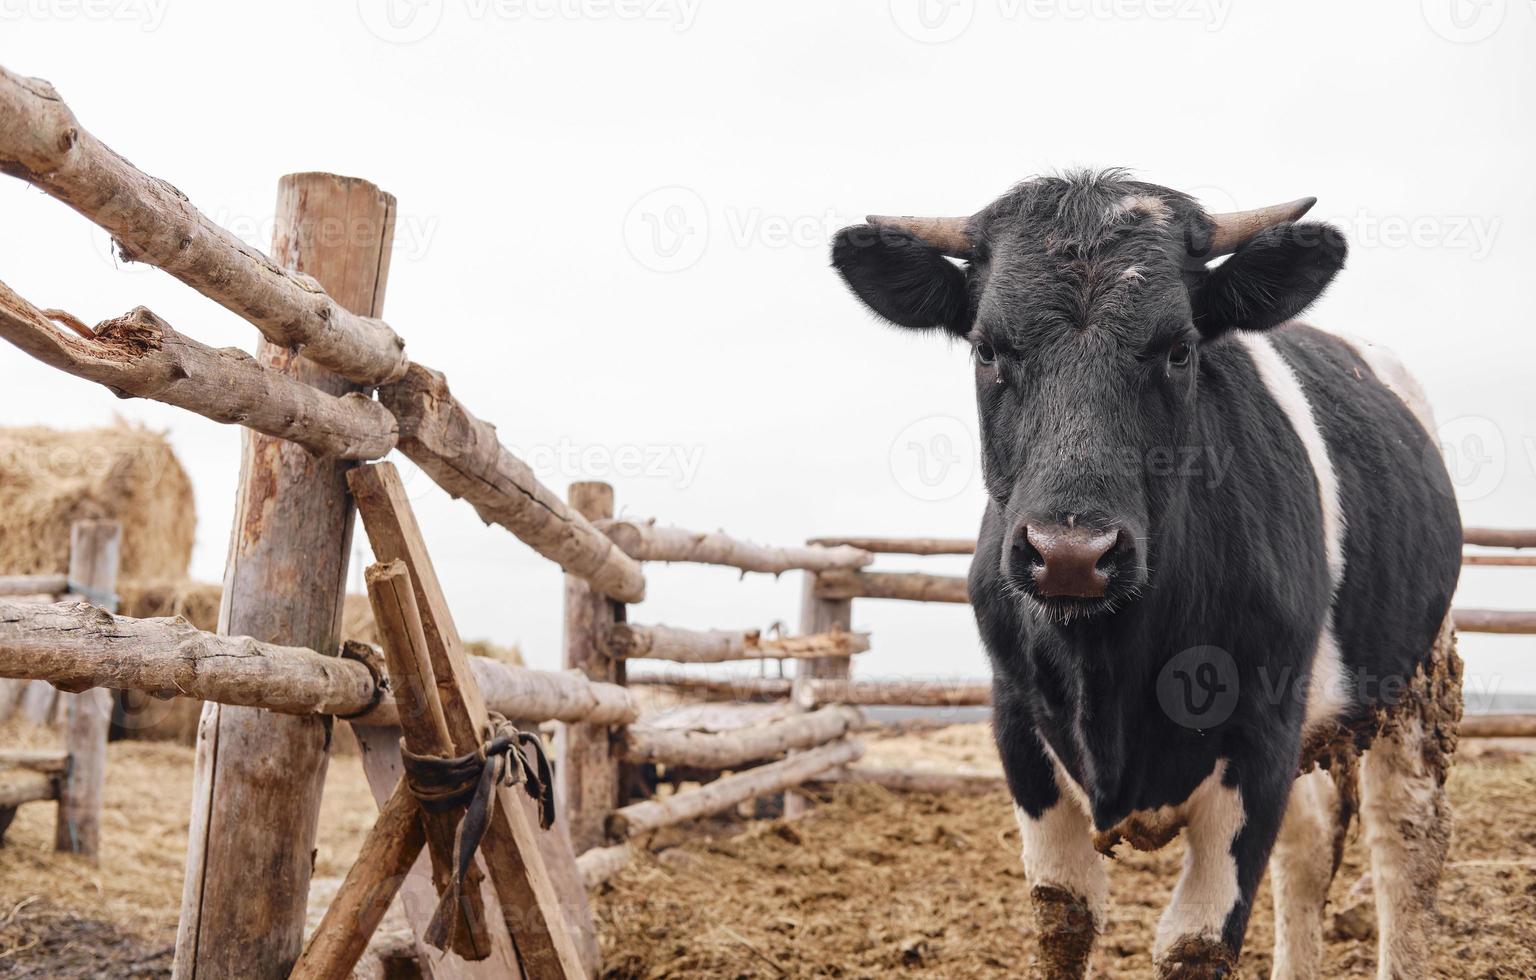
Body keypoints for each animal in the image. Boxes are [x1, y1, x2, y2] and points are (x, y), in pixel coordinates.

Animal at [835, 170, 1456, 980]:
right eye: (987, 349)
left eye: (1179, 350)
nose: (1071, 552)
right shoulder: (1016, 727)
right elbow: (1064, 917)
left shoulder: (1261, 738)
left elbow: (1198, 941)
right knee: (1311, 844)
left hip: (1415, 677)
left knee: (1404, 838)